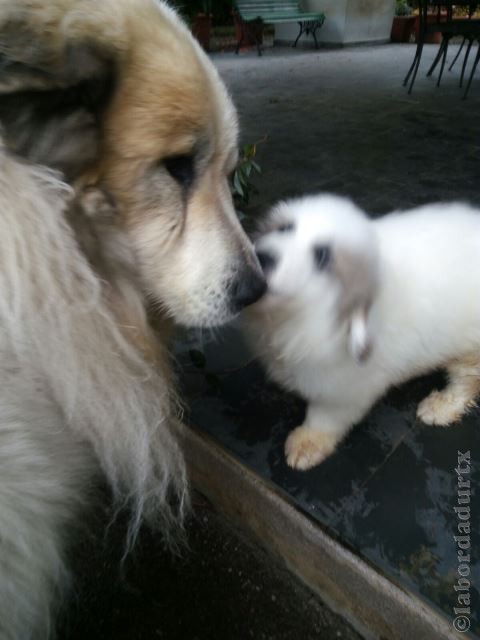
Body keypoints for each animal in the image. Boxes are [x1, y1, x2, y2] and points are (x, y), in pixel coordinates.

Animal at [246, 195, 480, 470]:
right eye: (284, 229)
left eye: (322, 256)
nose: (262, 257)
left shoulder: (345, 391)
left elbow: (324, 419)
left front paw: (306, 445)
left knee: (467, 382)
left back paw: (439, 407)